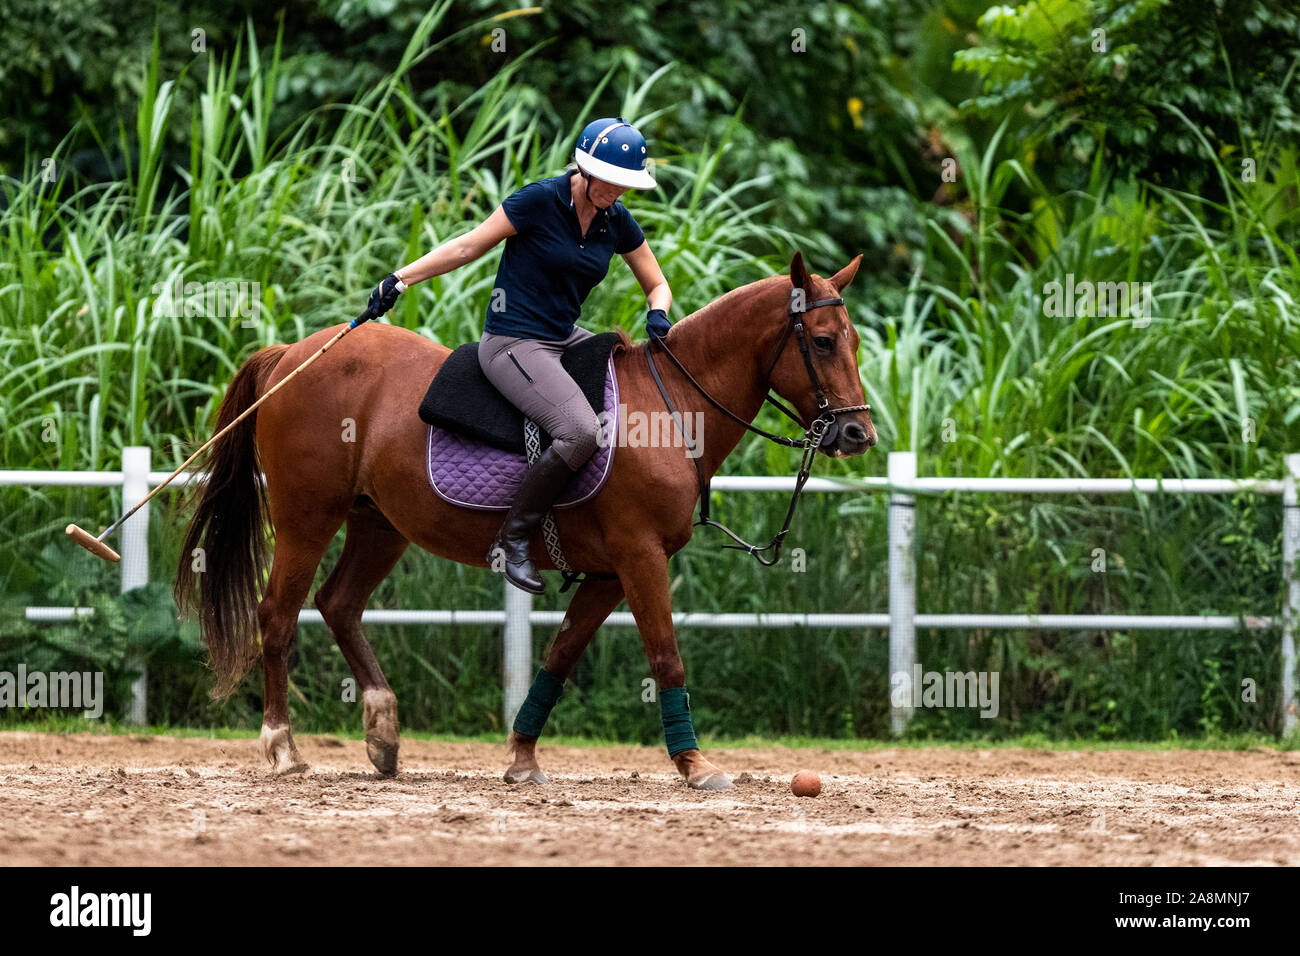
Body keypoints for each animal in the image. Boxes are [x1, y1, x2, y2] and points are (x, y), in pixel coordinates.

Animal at [173, 251, 876, 789]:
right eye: (821, 342)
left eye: (855, 343)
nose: (857, 433)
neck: (670, 406)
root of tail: (294, 352)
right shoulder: (640, 556)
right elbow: (666, 657)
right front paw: (694, 764)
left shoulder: (609, 573)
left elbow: (560, 657)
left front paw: (521, 757)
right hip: (306, 517)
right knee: (278, 615)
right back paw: (283, 748)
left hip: (381, 525)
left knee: (339, 604)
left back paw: (382, 732)